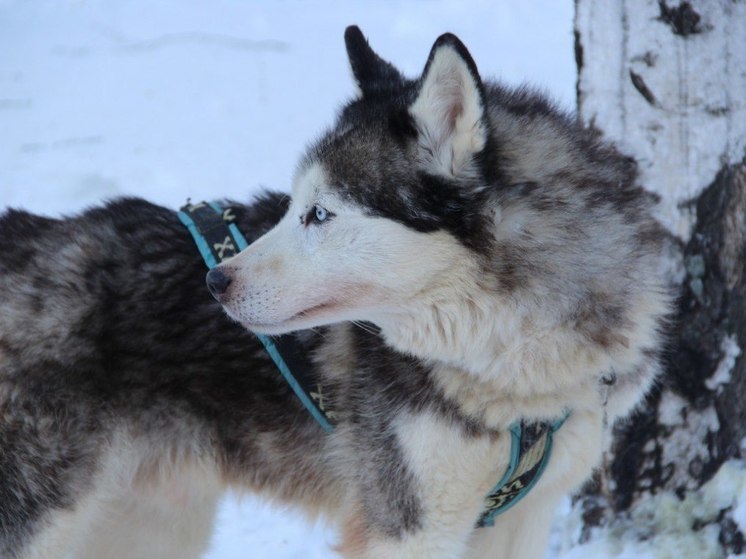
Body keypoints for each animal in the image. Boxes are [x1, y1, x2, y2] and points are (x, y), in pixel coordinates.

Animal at [2, 28, 668, 559]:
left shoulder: (520, 521)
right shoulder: (408, 530)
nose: (214, 281)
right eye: (294, 206)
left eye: (320, 214)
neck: (509, 371)